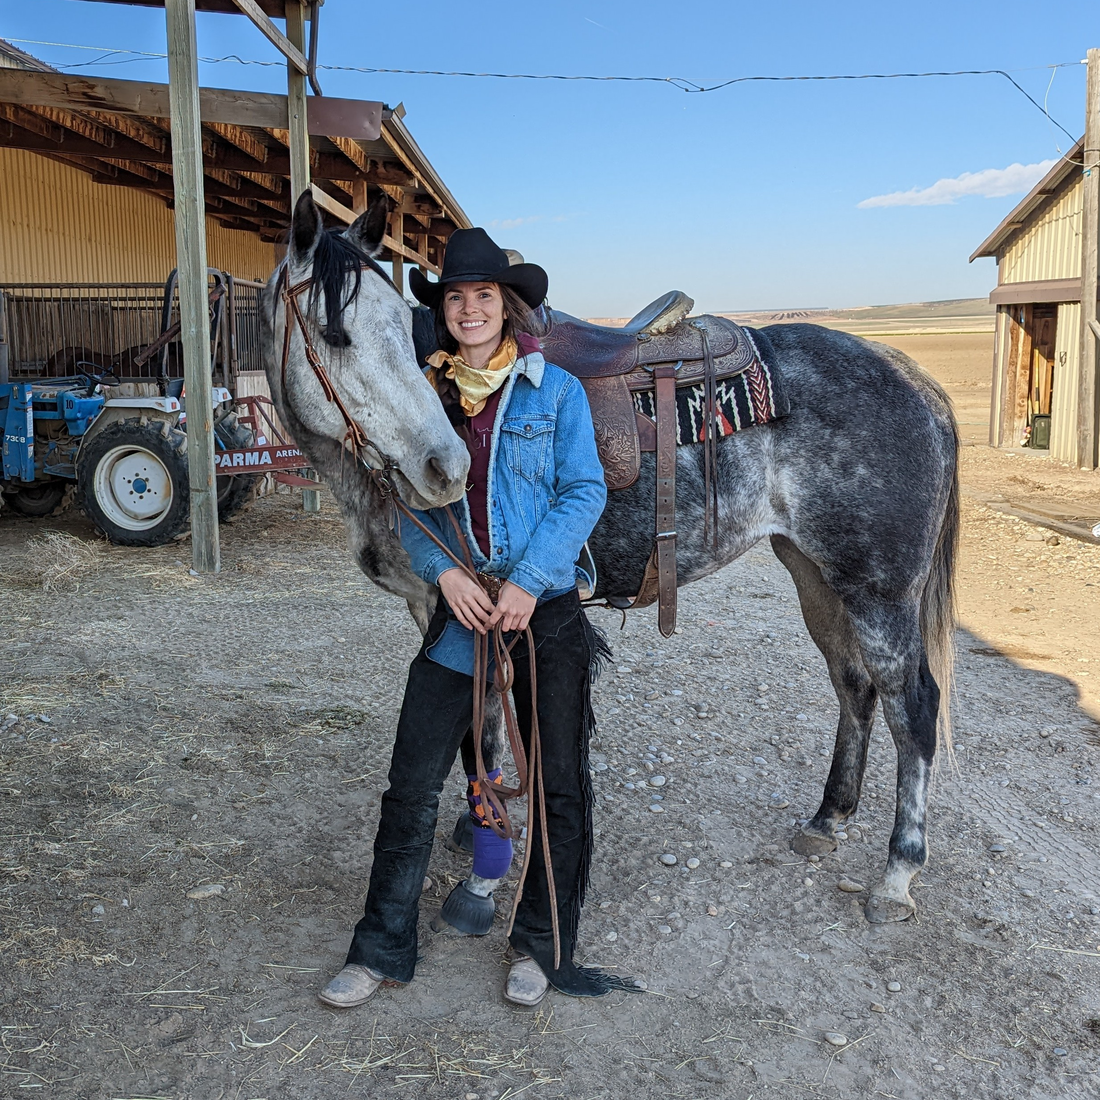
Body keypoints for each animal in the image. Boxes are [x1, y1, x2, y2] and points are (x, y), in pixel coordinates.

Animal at [262, 190, 958, 928]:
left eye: (402, 325)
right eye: (337, 335)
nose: (443, 467)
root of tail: (912, 378)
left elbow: (483, 727)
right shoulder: (448, 603)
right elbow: (481, 721)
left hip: (880, 593)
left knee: (912, 707)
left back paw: (897, 874)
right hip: (816, 576)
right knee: (853, 686)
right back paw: (827, 819)